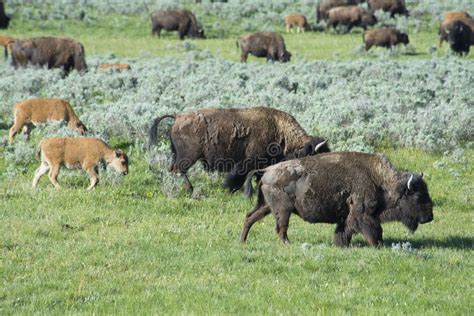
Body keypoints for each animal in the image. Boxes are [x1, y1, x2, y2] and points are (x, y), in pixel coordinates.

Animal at [148, 107, 330, 194]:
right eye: (312, 157)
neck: (279, 130)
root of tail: (177, 117)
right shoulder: (248, 162)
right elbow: (239, 176)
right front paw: (230, 189)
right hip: (188, 156)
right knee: (180, 170)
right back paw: (189, 190)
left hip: (177, 155)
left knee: (174, 169)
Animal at [241, 152, 434, 247]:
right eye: (418, 196)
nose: (429, 217)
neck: (379, 180)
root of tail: (266, 170)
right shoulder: (363, 214)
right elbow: (374, 229)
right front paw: (378, 244)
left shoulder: (347, 217)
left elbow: (344, 230)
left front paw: (341, 244)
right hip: (283, 210)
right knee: (280, 227)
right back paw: (287, 244)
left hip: (267, 206)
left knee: (250, 217)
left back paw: (242, 241)